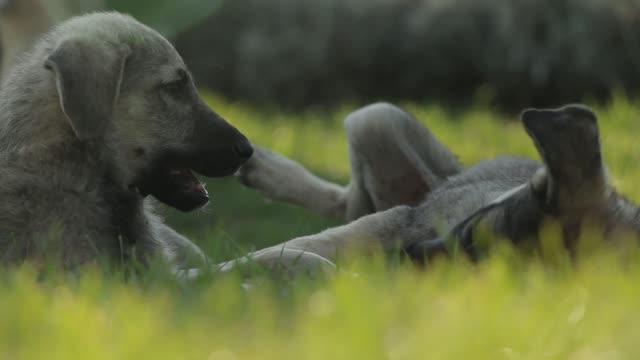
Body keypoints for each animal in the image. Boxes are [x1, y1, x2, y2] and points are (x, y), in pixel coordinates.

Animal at [226, 102, 640, 272]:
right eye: (471, 232)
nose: (402, 257)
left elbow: (310, 250)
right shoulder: (406, 217)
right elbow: (310, 243)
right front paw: (226, 268)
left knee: (348, 207)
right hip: (375, 117)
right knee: (346, 203)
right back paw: (265, 170)